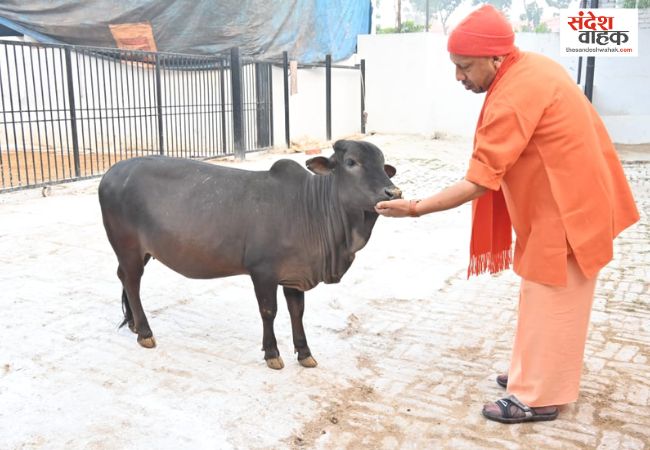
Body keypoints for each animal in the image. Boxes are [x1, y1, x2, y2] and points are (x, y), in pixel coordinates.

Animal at [98, 139, 401, 369]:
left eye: (383, 165)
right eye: (351, 162)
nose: (394, 192)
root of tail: (112, 172)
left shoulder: (295, 275)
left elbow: (297, 312)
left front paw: (304, 353)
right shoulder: (263, 272)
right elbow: (269, 311)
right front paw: (272, 353)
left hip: (142, 251)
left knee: (124, 278)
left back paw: (134, 324)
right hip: (128, 246)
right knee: (131, 280)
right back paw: (145, 332)